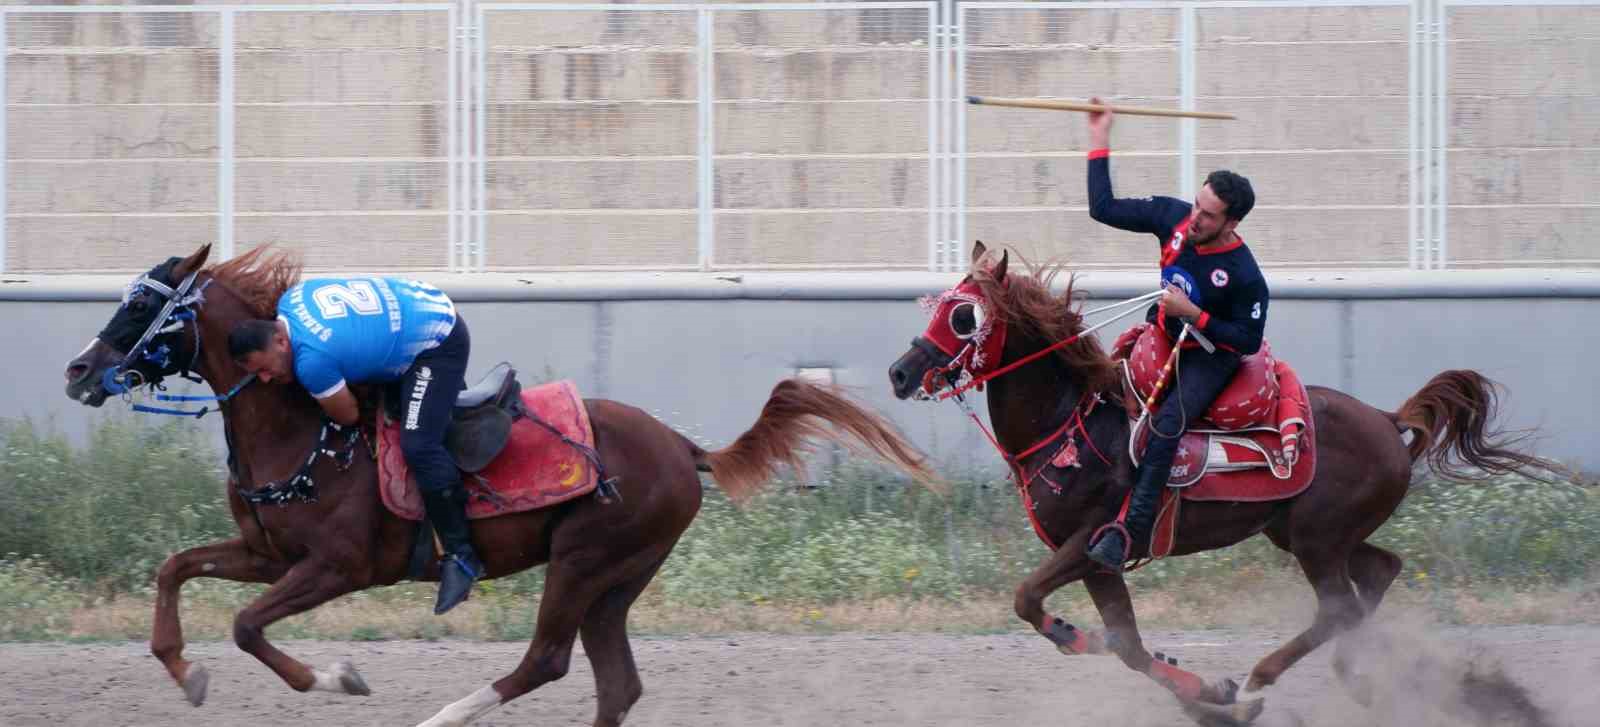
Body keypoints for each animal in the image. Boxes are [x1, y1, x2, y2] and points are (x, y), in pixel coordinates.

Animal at [62, 245, 934, 727]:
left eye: (141, 306)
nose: (77, 370)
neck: (301, 425)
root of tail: (683, 447)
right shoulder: (267, 552)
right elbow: (175, 568)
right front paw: (186, 671)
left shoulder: (338, 566)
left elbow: (246, 626)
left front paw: (337, 677)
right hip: (618, 580)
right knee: (615, 684)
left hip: (584, 559)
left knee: (546, 660)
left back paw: (443, 714)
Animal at [889, 243, 1561, 720]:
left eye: (964, 315)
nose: (900, 371)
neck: (1072, 423)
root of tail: (1385, 418)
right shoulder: (1101, 566)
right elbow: (1129, 646)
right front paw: (1209, 696)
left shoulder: (1093, 543)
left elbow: (1030, 600)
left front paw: (1074, 637)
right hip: (1307, 534)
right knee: (1379, 573)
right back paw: (1363, 675)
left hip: (1317, 539)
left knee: (1340, 604)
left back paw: (1271, 673)